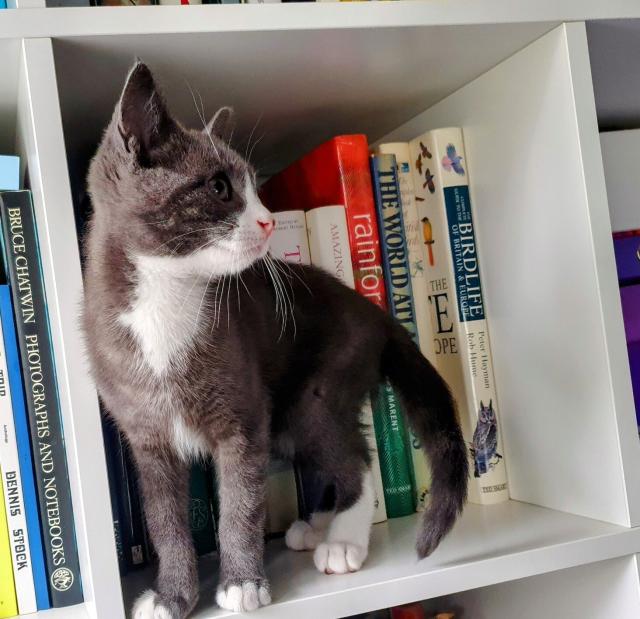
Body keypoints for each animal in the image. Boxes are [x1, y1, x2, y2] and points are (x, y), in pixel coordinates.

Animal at [82, 63, 468, 619]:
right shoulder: (147, 439)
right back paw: (318, 525)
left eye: (256, 190)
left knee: (354, 458)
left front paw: (242, 583)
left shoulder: (243, 419)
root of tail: (373, 311)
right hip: (285, 414)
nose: (266, 221)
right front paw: (172, 595)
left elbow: (242, 503)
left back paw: (343, 541)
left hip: (318, 389)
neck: (165, 299)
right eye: (219, 186)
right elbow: (165, 522)